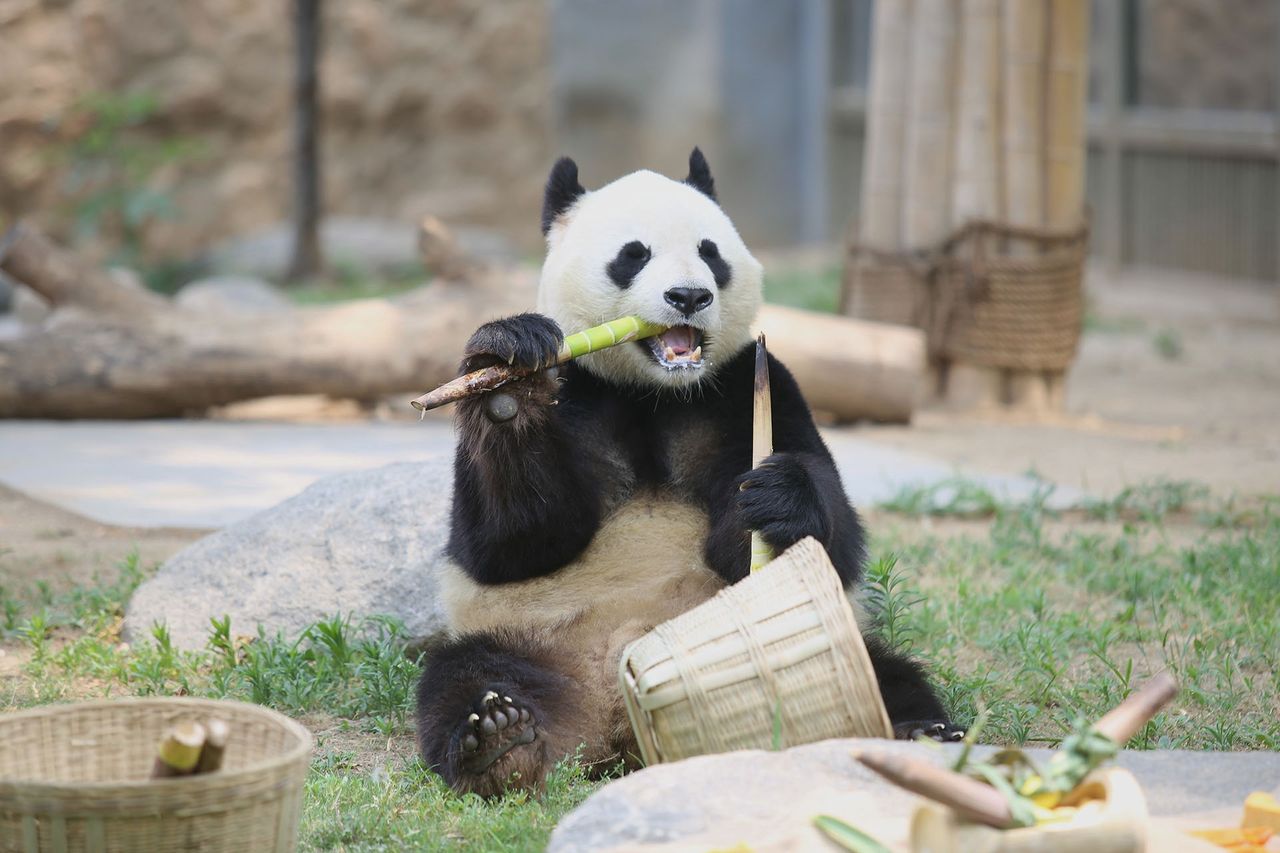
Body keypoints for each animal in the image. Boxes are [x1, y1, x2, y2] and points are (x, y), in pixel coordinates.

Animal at [414, 149, 957, 794]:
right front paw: (509, 382)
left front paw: (778, 497)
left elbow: (823, 540)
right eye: (633, 254)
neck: (655, 392)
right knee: (460, 678)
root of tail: (615, 718)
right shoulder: (579, 393)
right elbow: (512, 544)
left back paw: (924, 731)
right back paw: (501, 741)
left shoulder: (750, 384)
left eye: (710, 252)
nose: (689, 296)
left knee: (887, 673)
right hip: (520, 638)